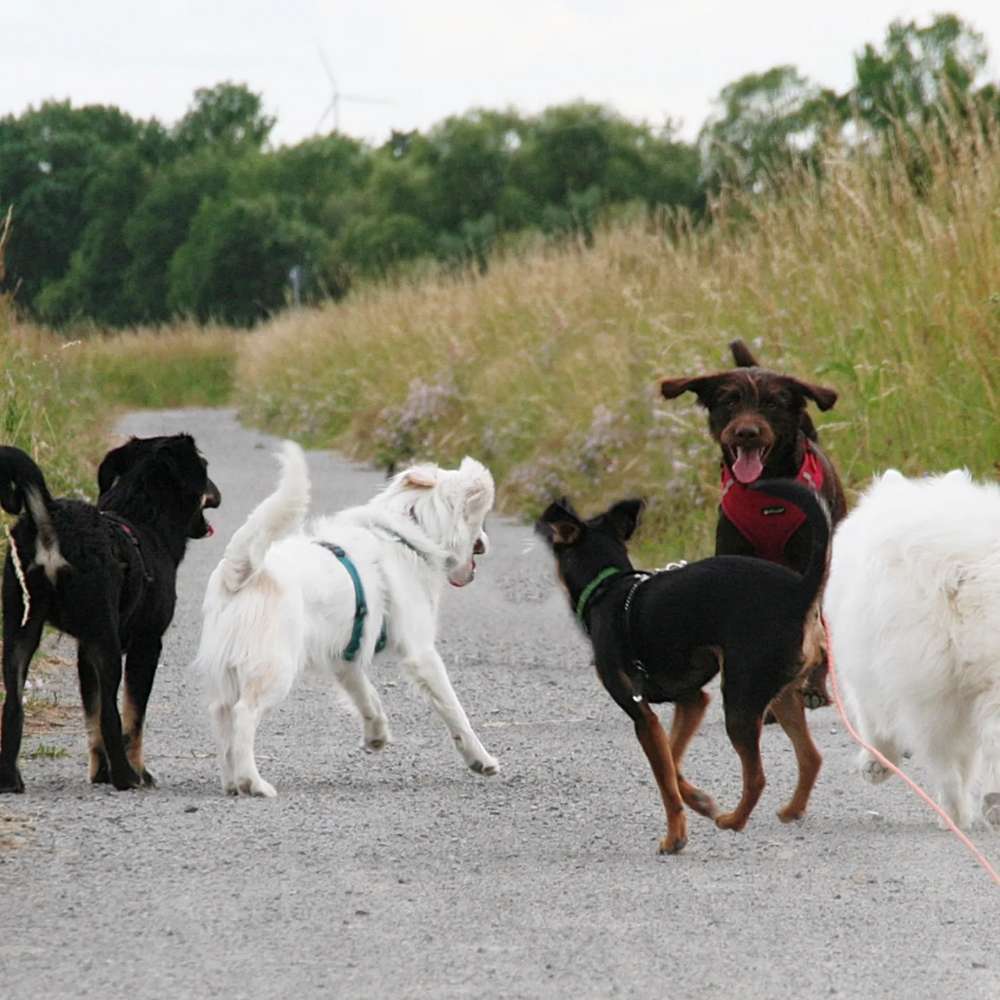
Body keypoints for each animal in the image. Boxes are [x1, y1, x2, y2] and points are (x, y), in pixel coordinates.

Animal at [0, 434, 220, 792]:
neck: (146, 520)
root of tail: (50, 520)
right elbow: (131, 718)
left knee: (13, 704)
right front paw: (138, 771)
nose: (216, 492)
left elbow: (92, 721)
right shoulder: (146, 643)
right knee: (111, 715)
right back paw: (125, 777)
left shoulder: (84, 650)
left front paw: (99, 773)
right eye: (204, 466)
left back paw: (9, 777)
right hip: (106, 641)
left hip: (20, 630)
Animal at [193, 440, 498, 796]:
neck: (410, 531)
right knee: (244, 715)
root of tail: (240, 572)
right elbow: (455, 711)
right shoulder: (421, 653)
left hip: (228, 676)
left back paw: (231, 783)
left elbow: (368, 698)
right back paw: (252, 782)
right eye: (482, 522)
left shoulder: (346, 656)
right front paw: (481, 760)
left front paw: (376, 736)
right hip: (275, 669)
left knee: (222, 718)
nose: (486, 544)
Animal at [540, 480, 828, 856]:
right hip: (780, 694)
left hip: (740, 699)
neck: (608, 586)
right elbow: (672, 760)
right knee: (810, 757)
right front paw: (699, 800)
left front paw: (675, 837)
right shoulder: (691, 701)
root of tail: (800, 590)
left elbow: (665, 779)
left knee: (757, 777)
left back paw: (733, 821)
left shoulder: (641, 714)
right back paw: (792, 810)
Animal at [824, 468, 1000, 828]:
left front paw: (875, 765)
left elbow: (870, 721)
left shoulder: (864, 670)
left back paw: (953, 812)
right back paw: (990, 806)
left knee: (941, 757)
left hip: (926, 687)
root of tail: (962, 565)